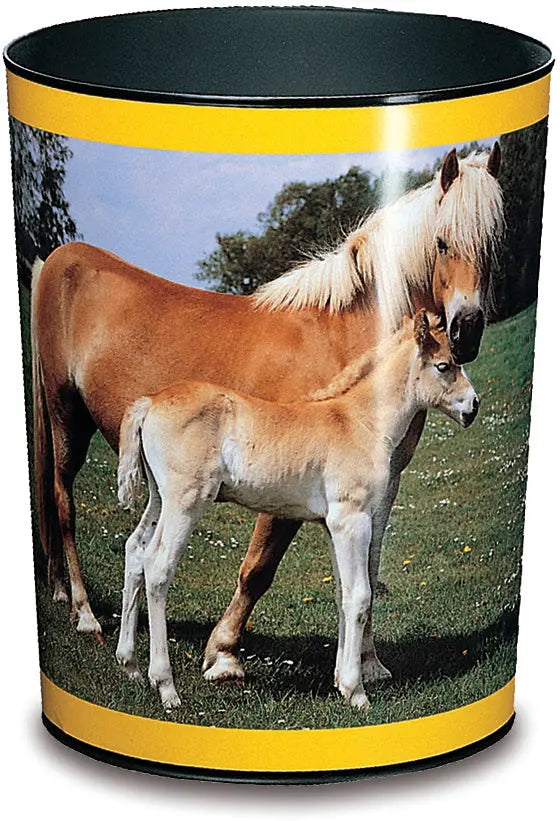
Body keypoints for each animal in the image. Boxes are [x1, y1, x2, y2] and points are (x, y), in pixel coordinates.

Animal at [30, 146, 503, 669]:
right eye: (441, 242)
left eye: (493, 241)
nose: (467, 331)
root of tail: (56, 260)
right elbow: (259, 567)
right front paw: (222, 653)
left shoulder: (380, 489)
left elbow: (365, 572)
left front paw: (368, 664)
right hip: (66, 417)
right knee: (62, 503)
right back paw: (84, 613)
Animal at [116, 310, 479, 710]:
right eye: (444, 365)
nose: (473, 405)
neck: (359, 423)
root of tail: (150, 402)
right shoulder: (352, 520)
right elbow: (360, 595)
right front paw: (356, 691)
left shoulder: (332, 526)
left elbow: (342, 594)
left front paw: (340, 680)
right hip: (185, 501)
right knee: (157, 567)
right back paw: (165, 686)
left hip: (159, 498)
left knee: (135, 551)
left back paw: (130, 666)